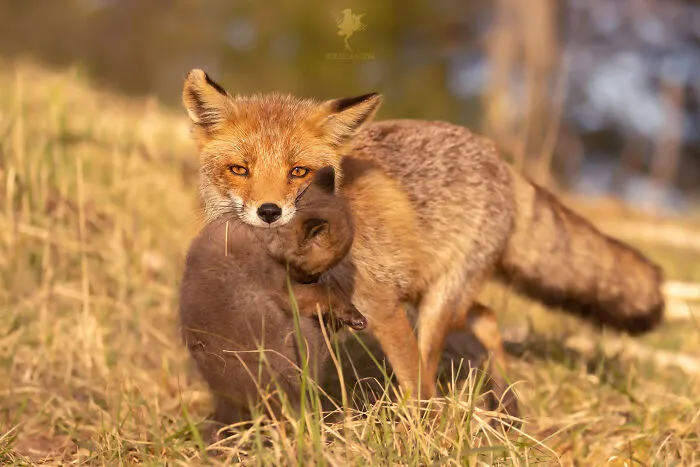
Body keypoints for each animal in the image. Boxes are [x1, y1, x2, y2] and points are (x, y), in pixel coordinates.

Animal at [179, 166, 366, 426]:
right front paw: (351, 315)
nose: (310, 279)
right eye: (312, 271)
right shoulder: (285, 292)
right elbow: (326, 293)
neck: (263, 239)